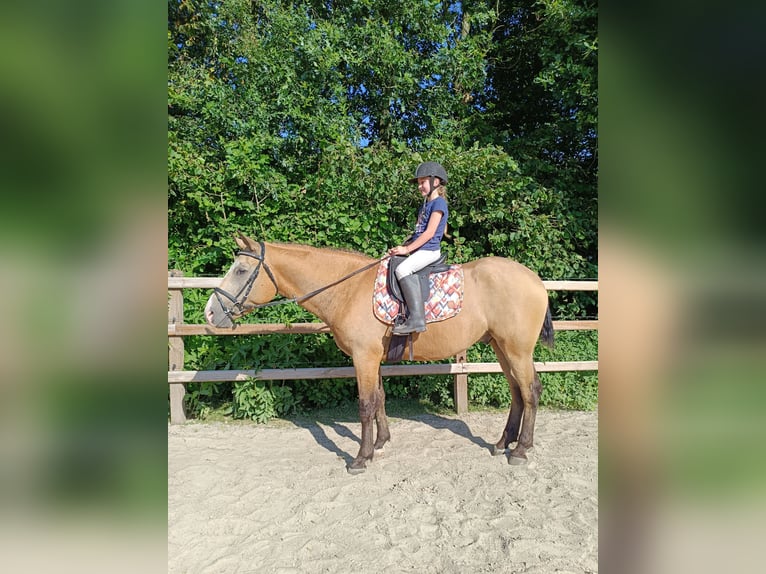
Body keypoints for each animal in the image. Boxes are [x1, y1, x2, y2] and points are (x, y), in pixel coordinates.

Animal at [205, 234, 554, 474]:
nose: (210, 313)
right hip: (501, 347)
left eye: (240, 270)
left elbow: (365, 405)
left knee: (530, 390)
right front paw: (381, 442)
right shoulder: (373, 358)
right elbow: (380, 398)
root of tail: (534, 279)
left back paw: (520, 450)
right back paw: (502, 443)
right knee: (517, 393)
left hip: (516, 349)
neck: (348, 290)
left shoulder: (363, 357)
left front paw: (361, 457)